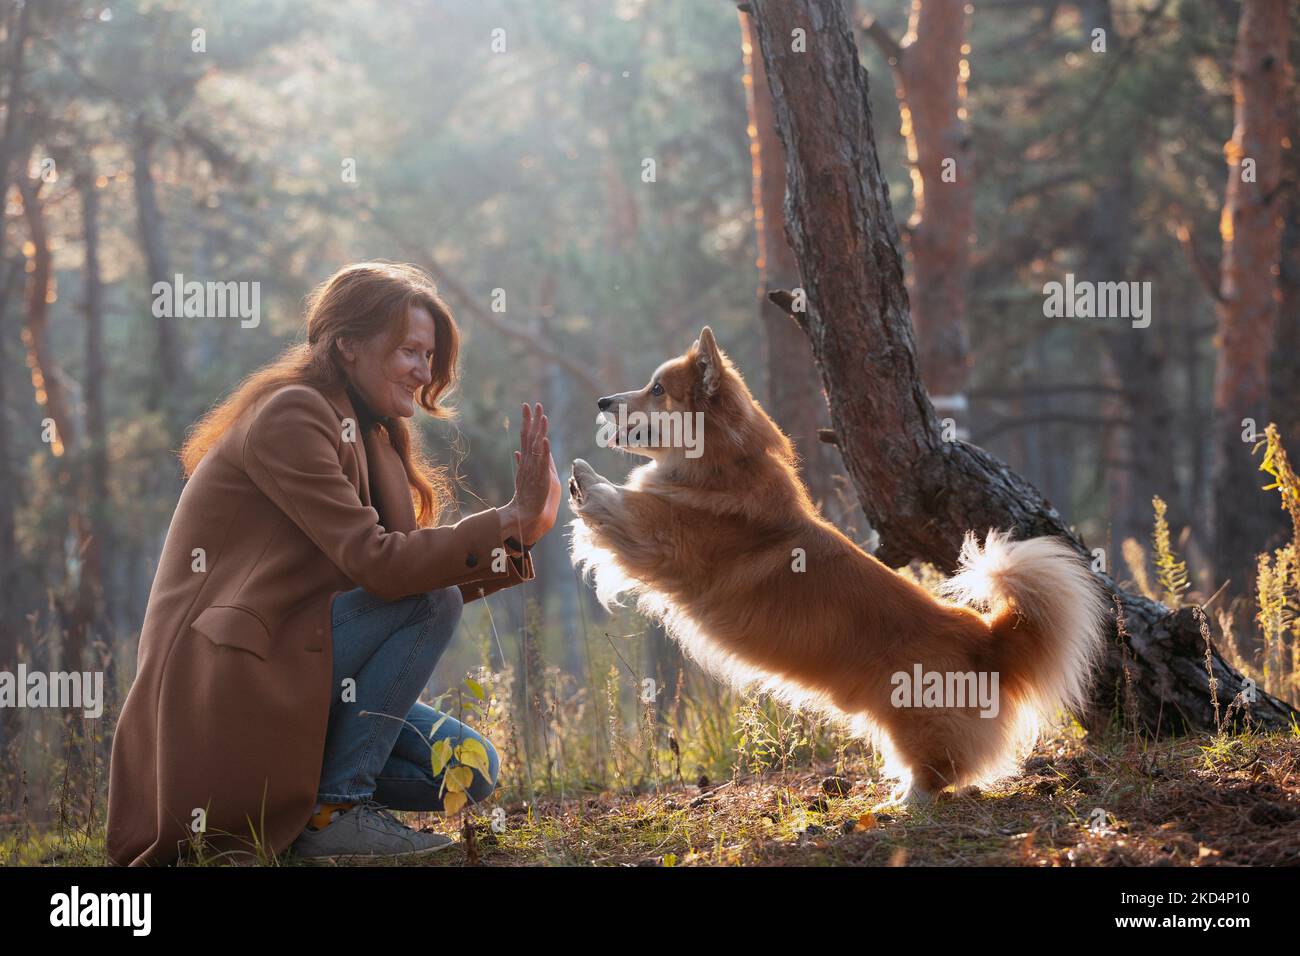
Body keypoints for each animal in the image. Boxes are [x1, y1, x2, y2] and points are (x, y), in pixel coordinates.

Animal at [569, 325, 1107, 806]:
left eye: (657, 389)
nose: (600, 402)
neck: (724, 466)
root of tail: (987, 637)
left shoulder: (661, 536)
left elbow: (624, 504)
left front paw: (582, 477)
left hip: (912, 713)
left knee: (939, 767)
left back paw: (905, 803)